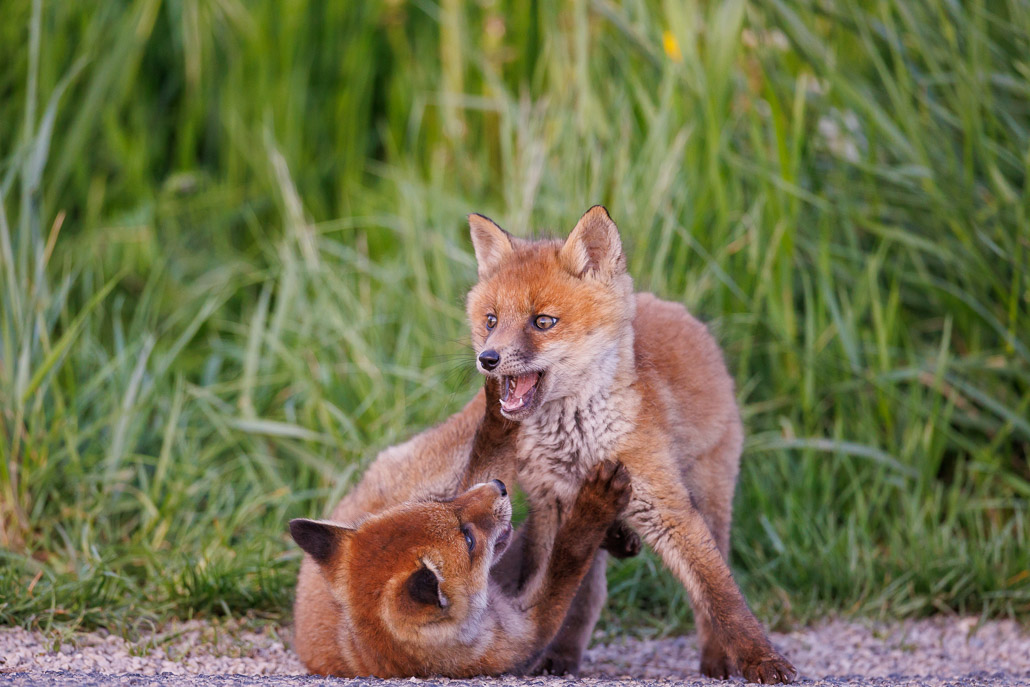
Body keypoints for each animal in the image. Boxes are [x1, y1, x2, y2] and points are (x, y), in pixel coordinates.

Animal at [290, 458, 633, 678]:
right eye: (468, 539)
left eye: (438, 503)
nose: (499, 485)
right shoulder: (527, 631)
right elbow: (567, 554)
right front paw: (594, 506)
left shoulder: (501, 587)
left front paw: (614, 534)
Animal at [461, 206, 797, 683]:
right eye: (491, 320)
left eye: (542, 322)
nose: (487, 359)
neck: (577, 445)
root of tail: (671, 306)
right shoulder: (551, 505)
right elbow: (554, 585)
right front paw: (538, 644)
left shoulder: (668, 508)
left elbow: (721, 596)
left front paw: (760, 658)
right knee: (591, 591)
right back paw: (563, 652)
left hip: (710, 497)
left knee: (711, 578)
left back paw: (716, 660)